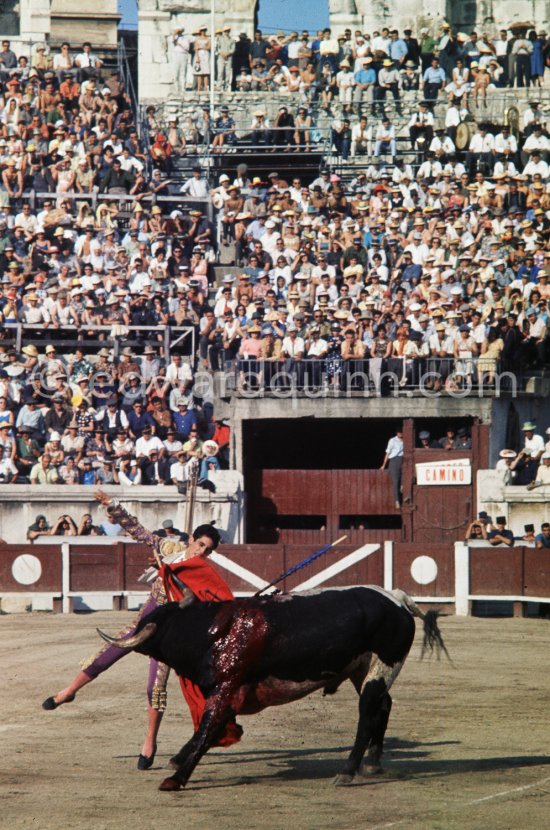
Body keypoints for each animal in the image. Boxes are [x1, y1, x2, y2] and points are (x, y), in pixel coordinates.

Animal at [98, 584, 448, 792]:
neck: (212, 631)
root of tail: (397, 599)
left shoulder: (226, 688)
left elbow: (208, 729)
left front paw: (176, 778)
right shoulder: (227, 693)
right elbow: (206, 730)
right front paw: (176, 762)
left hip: (381, 667)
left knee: (367, 714)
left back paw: (348, 771)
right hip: (363, 670)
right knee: (383, 707)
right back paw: (373, 763)